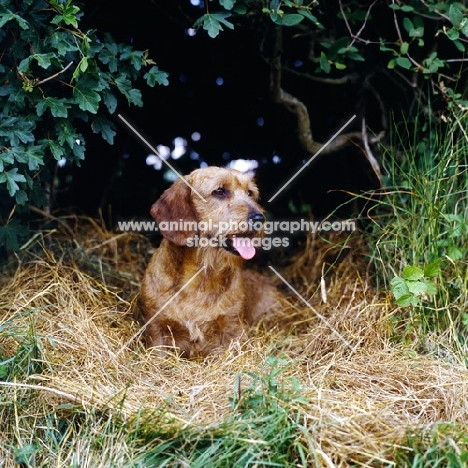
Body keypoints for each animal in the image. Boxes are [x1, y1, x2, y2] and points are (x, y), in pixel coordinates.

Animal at [138, 166, 278, 356]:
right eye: (219, 191)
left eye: (250, 193)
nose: (259, 219)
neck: (200, 277)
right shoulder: (156, 328)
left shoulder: (232, 329)